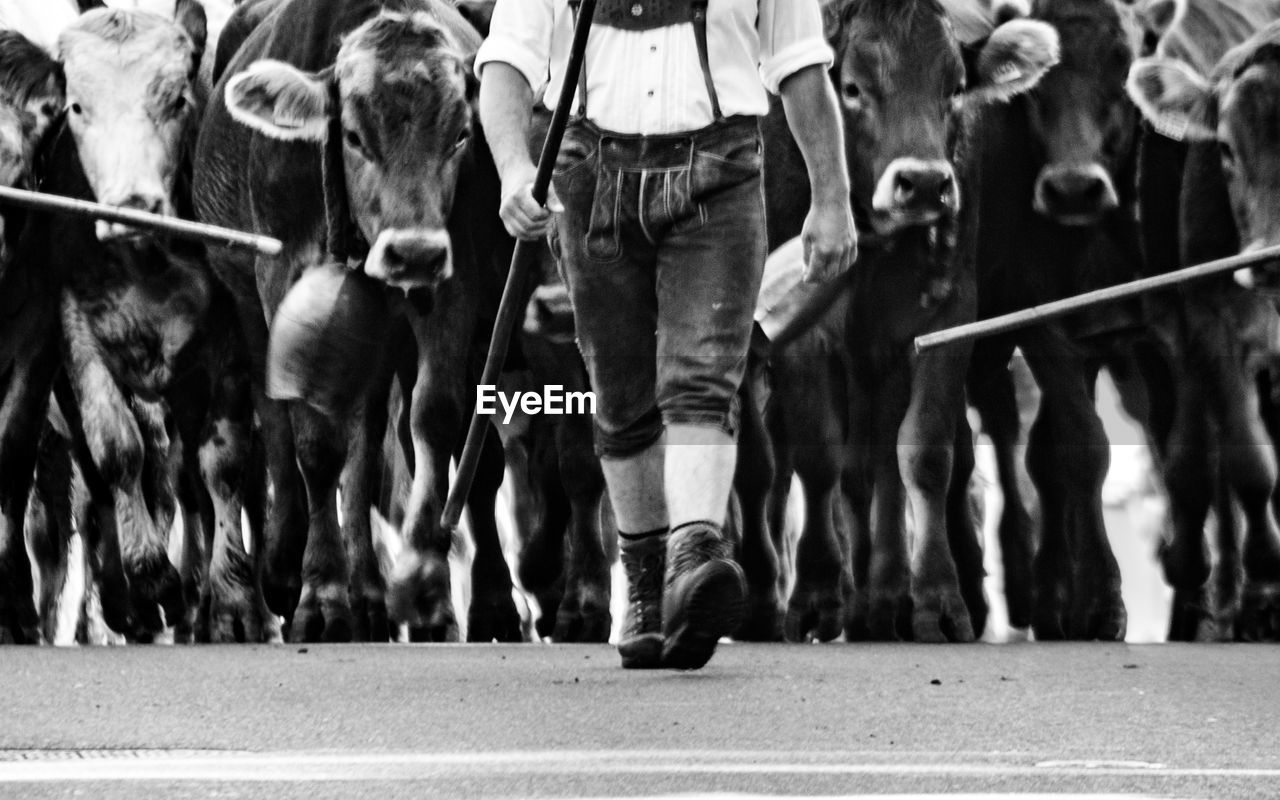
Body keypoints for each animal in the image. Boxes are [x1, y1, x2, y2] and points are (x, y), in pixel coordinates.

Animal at [193, 0, 519, 642]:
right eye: (352, 135)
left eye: (461, 133)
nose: (412, 252)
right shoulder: (282, 271)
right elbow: (315, 444)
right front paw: (321, 594)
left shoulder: (456, 277)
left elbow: (435, 420)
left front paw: (425, 587)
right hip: (244, 300)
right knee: (272, 421)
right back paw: (281, 568)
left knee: (379, 444)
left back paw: (379, 593)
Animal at [742, 0, 1059, 640]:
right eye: (852, 87)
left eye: (955, 88)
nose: (927, 184)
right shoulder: (803, 334)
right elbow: (818, 455)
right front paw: (817, 592)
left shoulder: (941, 317)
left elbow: (922, 454)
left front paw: (936, 598)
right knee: (788, 466)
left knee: (879, 469)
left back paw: (883, 597)